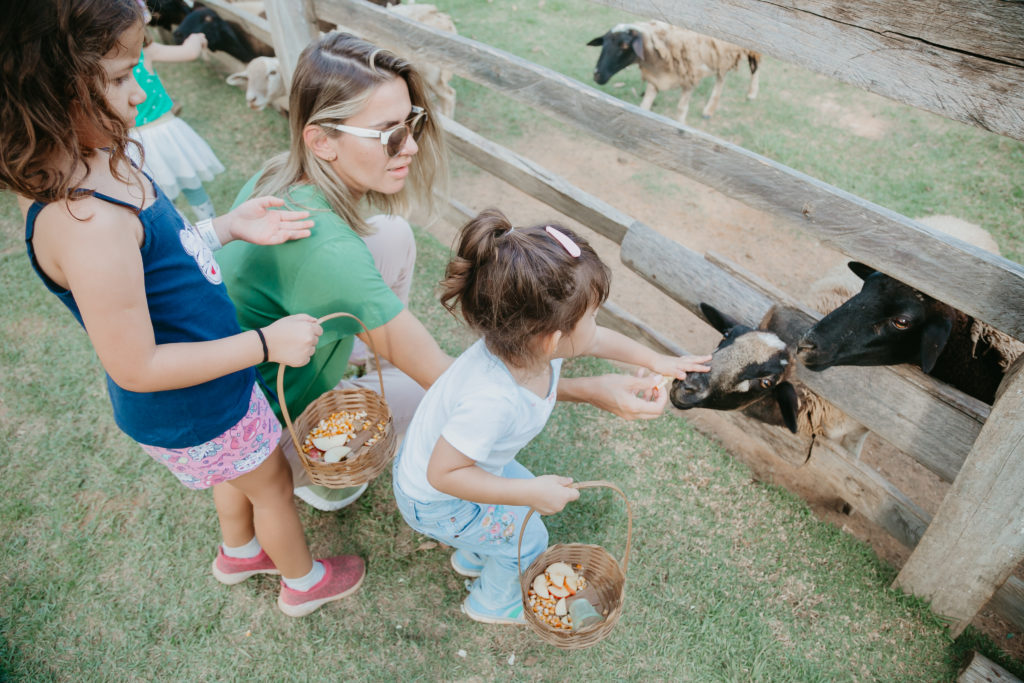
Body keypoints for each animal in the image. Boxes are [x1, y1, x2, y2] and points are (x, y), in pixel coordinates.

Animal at [585, 20, 761, 122]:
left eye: (625, 46)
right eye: (603, 43)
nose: (597, 74)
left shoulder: (690, 78)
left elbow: (682, 109)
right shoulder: (655, 78)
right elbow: (644, 105)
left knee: (755, 69)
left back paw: (752, 93)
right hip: (720, 54)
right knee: (721, 77)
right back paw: (709, 109)